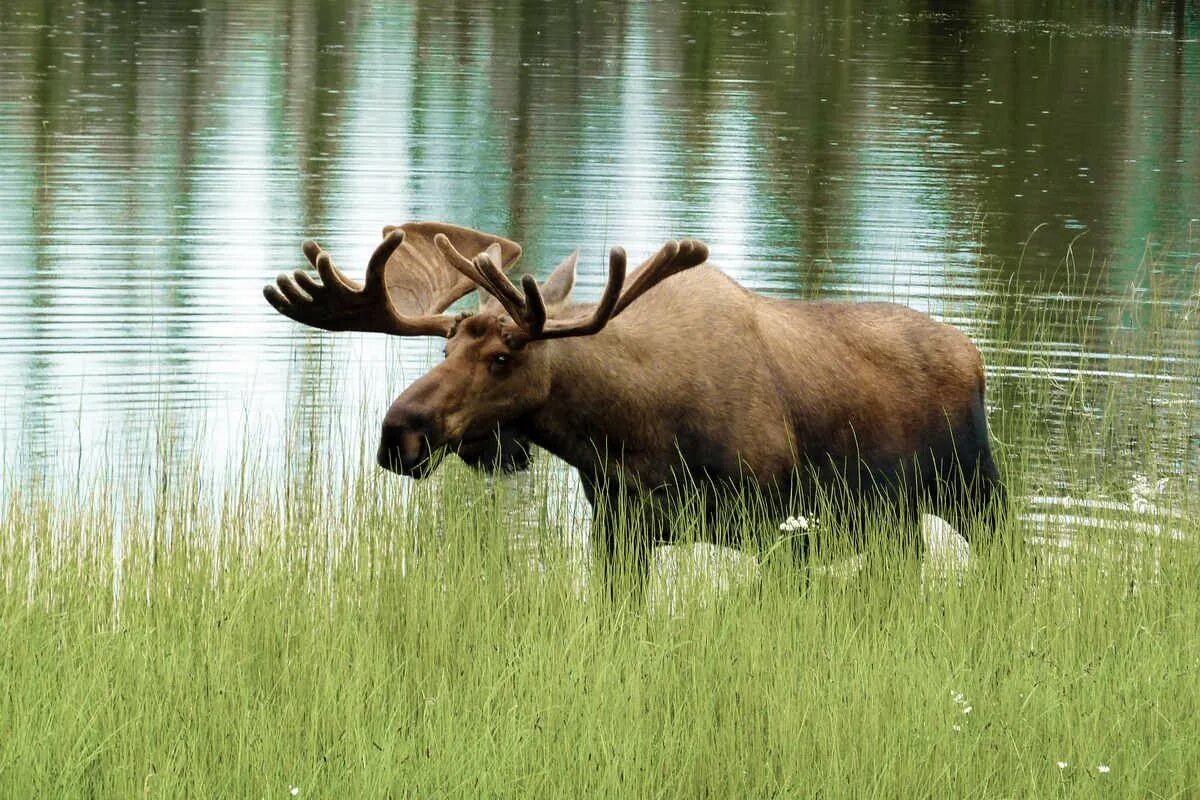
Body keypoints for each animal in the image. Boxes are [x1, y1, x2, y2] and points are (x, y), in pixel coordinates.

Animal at [267, 221, 1008, 585]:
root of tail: (974, 359)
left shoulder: (776, 527)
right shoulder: (619, 528)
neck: (624, 430)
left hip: (976, 494)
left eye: (504, 357)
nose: (399, 432)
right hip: (897, 523)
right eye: (445, 350)